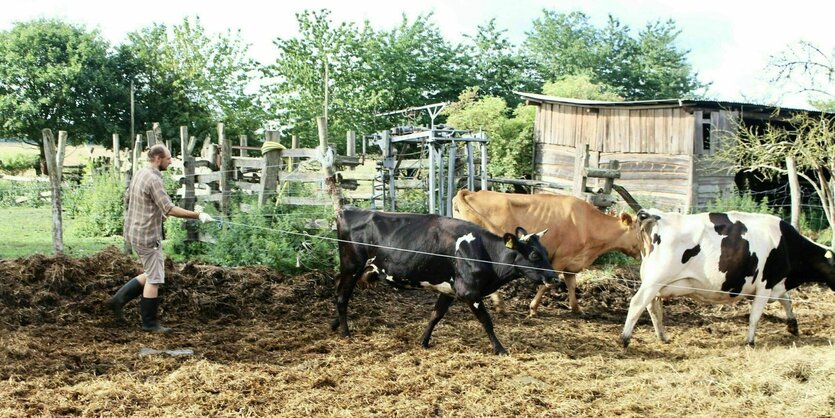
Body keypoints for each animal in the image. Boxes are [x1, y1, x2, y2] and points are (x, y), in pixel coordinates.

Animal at [330, 207, 560, 354]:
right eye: (534, 255)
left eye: (546, 252)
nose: (555, 278)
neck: (483, 253)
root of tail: (347, 211)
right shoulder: (470, 292)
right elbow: (487, 321)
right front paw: (500, 349)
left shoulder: (448, 290)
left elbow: (435, 315)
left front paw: (423, 341)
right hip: (351, 266)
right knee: (342, 296)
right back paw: (345, 332)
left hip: (361, 270)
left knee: (340, 289)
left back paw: (335, 324)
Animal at [454, 191, 644, 316]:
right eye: (641, 231)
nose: (644, 254)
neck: (587, 224)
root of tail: (471, 192)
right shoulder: (560, 259)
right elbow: (547, 283)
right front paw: (533, 309)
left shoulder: (571, 264)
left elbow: (572, 285)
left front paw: (578, 310)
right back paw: (499, 304)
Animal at [620, 209, 835, 350]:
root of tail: (656, 216)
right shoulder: (765, 285)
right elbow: (755, 316)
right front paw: (750, 341)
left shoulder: (776, 284)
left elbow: (787, 301)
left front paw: (793, 326)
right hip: (655, 279)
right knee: (638, 303)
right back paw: (625, 338)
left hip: (655, 281)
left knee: (653, 307)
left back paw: (662, 337)